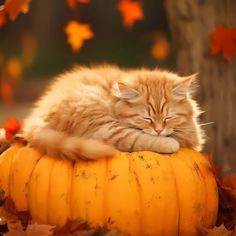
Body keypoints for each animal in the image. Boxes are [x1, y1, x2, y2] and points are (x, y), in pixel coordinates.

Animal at [21, 64, 205, 160]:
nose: (159, 130)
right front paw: (170, 141)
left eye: (168, 117)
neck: (113, 99)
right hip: (100, 123)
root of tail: (37, 118)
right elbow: (146, 137)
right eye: (146, 118)